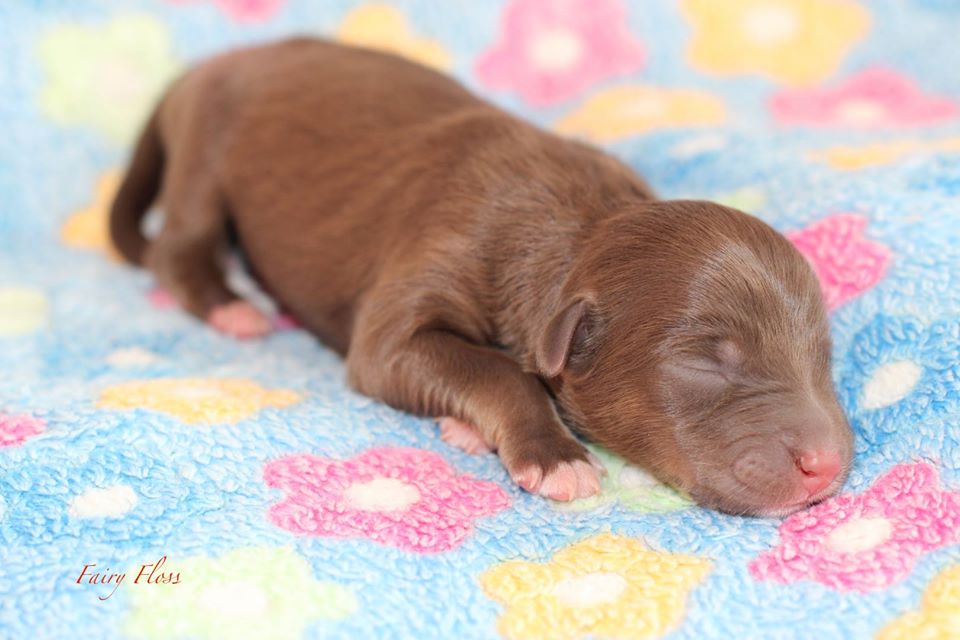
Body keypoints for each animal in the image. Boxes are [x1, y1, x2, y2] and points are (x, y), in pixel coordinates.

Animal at [110, 37, 856, 516]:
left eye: (822, 357)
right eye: (704, 363)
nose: (829, 466)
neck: (580, 222)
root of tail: (207, 67)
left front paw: (474, 428)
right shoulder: (427, 274)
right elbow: (490, 368)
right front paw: (553, 455)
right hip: (206, 148)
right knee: (177, 246)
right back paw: (232, 308)